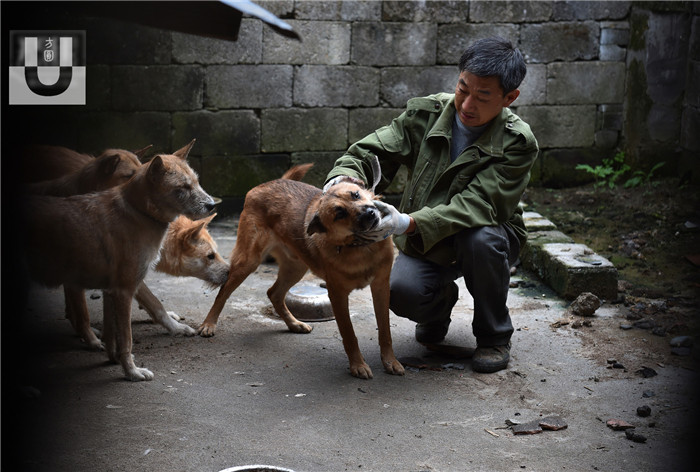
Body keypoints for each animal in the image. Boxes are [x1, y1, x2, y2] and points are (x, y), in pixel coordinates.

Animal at [23, 140, 215, 380]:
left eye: (197, 182)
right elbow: (126, 338)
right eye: (184, 187)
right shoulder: (124, 290)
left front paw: (114, 360)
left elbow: (113, 335)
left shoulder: (110, 291)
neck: (138, 212)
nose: (212, 205)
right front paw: (131, 372)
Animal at [197, 164, 404, 378]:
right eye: (339, 214)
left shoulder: (381, 287)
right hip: (249, 261)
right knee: (223, 291)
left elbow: (385, 330)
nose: (370, 213)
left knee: (274, 293)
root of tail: (266, 184)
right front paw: (358, 365)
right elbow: (349, 333)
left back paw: (294, 324)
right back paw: (209, 324)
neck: (360, 248)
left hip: (296, 268)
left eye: (356, 194)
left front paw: (390, 361)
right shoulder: (337, 295)